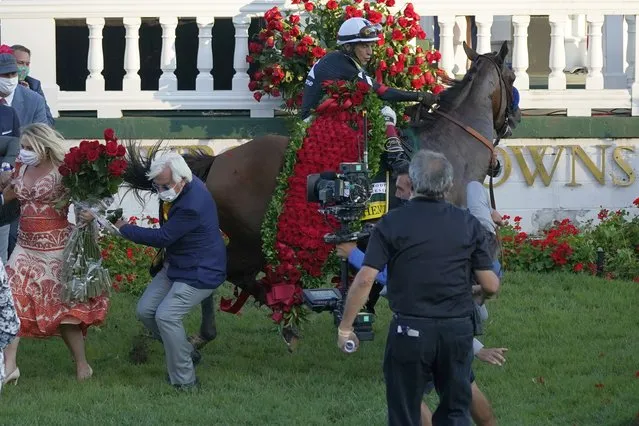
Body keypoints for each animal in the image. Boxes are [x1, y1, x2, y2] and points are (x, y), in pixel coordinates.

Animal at [121, 41, 520, 352]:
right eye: (513, 78)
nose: (514, 119)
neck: (450, 149)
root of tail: (218, 160)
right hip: (252, 239)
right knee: (225, 270)